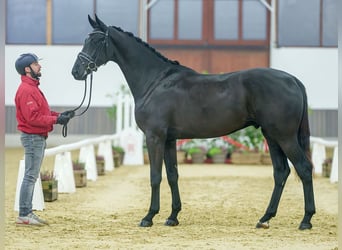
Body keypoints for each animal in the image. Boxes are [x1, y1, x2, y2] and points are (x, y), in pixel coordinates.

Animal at [71, 15, 316, 230]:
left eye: (96, 41)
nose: (76, 72)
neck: (156, 81)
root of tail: (293, 80)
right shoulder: (169, 140)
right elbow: (172, 175)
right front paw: (172, 216)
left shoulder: (154, 137)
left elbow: (155, 176)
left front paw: (149, 217)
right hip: (271, 136)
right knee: (281, 172)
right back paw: (265, 218)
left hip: (284, 137)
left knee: (304, 168)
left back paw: (306, 220)